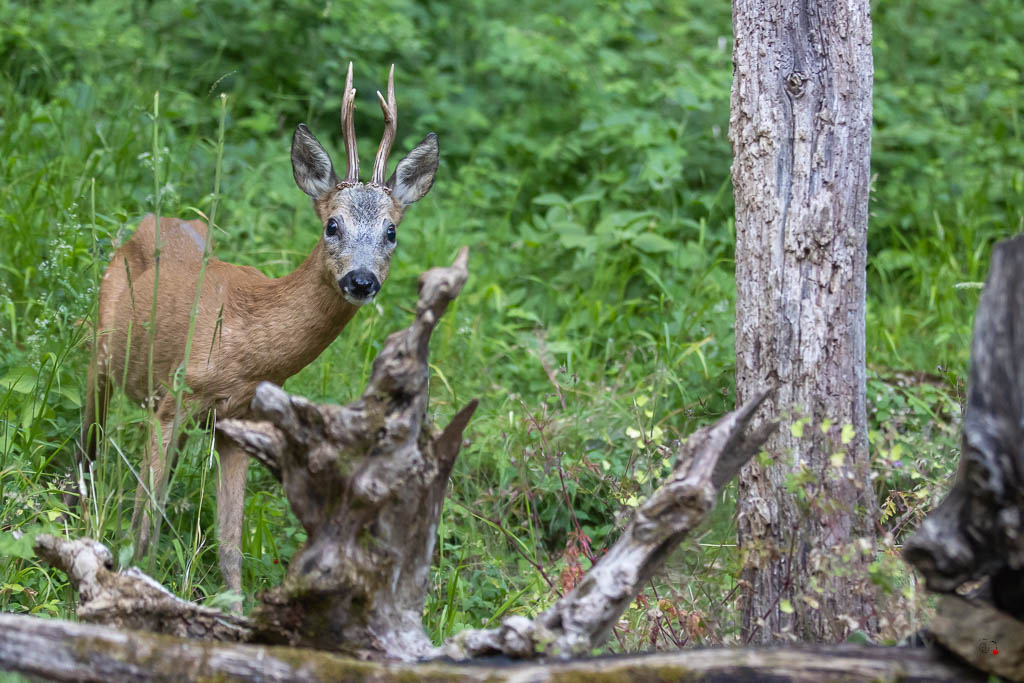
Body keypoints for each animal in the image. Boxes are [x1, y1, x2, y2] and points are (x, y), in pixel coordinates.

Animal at [74, 63, 436, 598]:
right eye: (332, 224)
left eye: (391, 232)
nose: (361, 280)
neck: (245, 343)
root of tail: (144, 222)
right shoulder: (175, 397)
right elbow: (145, 524)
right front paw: (132, 581)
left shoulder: (238, 420)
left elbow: (230, 544)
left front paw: (235, 606)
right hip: (100, 347)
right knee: (89, 440)